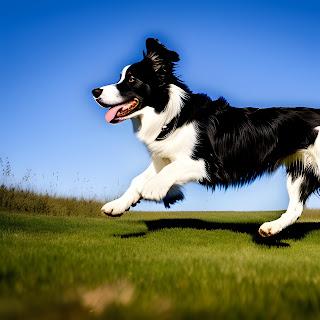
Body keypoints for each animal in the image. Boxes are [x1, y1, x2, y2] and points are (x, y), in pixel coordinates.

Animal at [92, 38, 320, 236]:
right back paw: (271, 228)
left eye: (131, 79)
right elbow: (138, 179)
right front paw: (117, 205)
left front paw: (155, 189)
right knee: (296, 209)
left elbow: (165, 173)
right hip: (301, 172)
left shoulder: (206, 164)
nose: (95, 91)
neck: (173, 116)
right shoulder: (164, 157)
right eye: (120, 77)